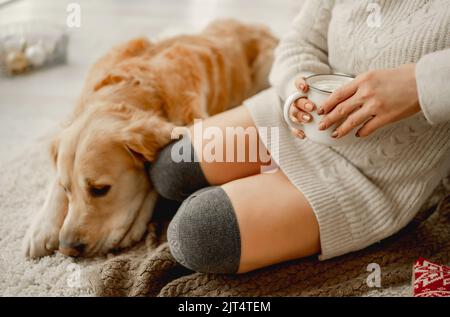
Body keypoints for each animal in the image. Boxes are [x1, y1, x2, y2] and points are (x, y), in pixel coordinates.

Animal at [23, 19, 278, 256]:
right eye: (66, 188)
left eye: (100, 189)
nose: (67, 249)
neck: (130, 88)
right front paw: (42, 228)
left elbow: (152, 181)